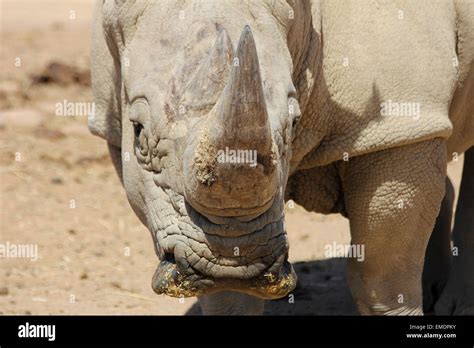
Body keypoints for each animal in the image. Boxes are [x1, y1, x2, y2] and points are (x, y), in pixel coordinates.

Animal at [90, 0, 474, 316]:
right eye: (137, 133)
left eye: (293, 124)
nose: (225, 264)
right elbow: (229, 301)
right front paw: (230, 285)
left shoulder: (399, 123)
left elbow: (381, 277)